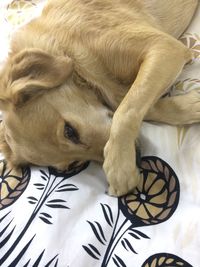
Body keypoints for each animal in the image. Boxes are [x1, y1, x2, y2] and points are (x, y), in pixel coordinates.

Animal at [0, 0, 198, 197]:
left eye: (69, 131)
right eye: (75, 164)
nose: (138, 158)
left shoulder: (165, 47)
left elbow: (126, 109)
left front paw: (120, 167)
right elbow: (131, 103)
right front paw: (192, 104)